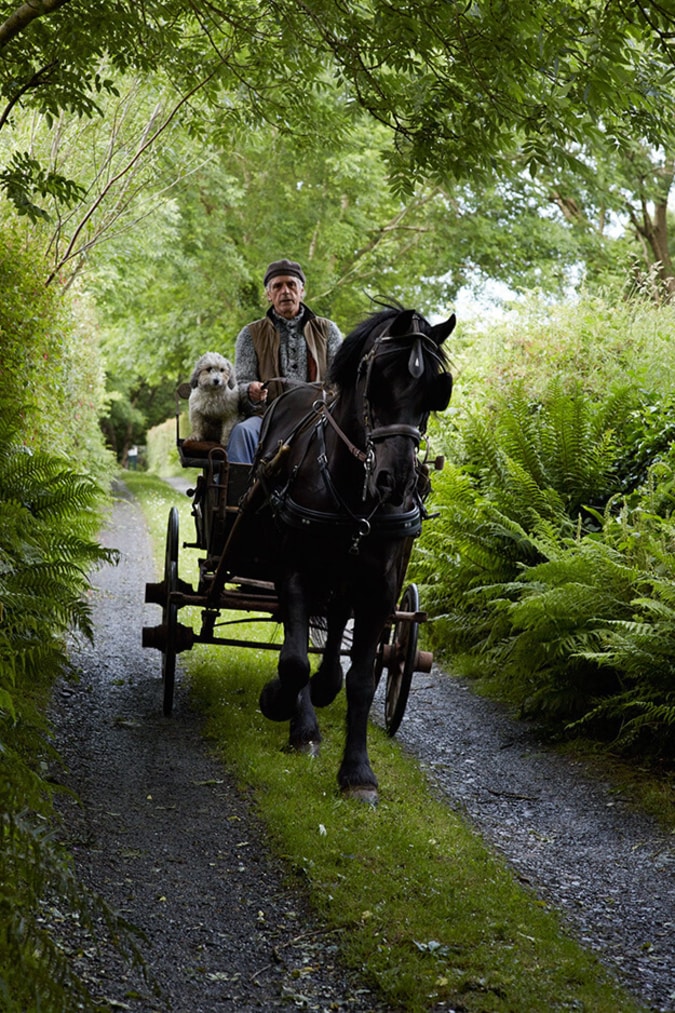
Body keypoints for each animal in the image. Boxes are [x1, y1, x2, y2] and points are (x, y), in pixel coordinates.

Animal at [242, 303, 452, 802]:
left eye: (436, 390)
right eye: (379, 378)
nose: (397, 481)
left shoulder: (380, 589)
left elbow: (360, 681)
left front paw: (358, 774)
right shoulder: (293, 571)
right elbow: (293, 660)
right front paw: (284, 707)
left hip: (345, 579)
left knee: (337, 625)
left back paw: (326, 686)